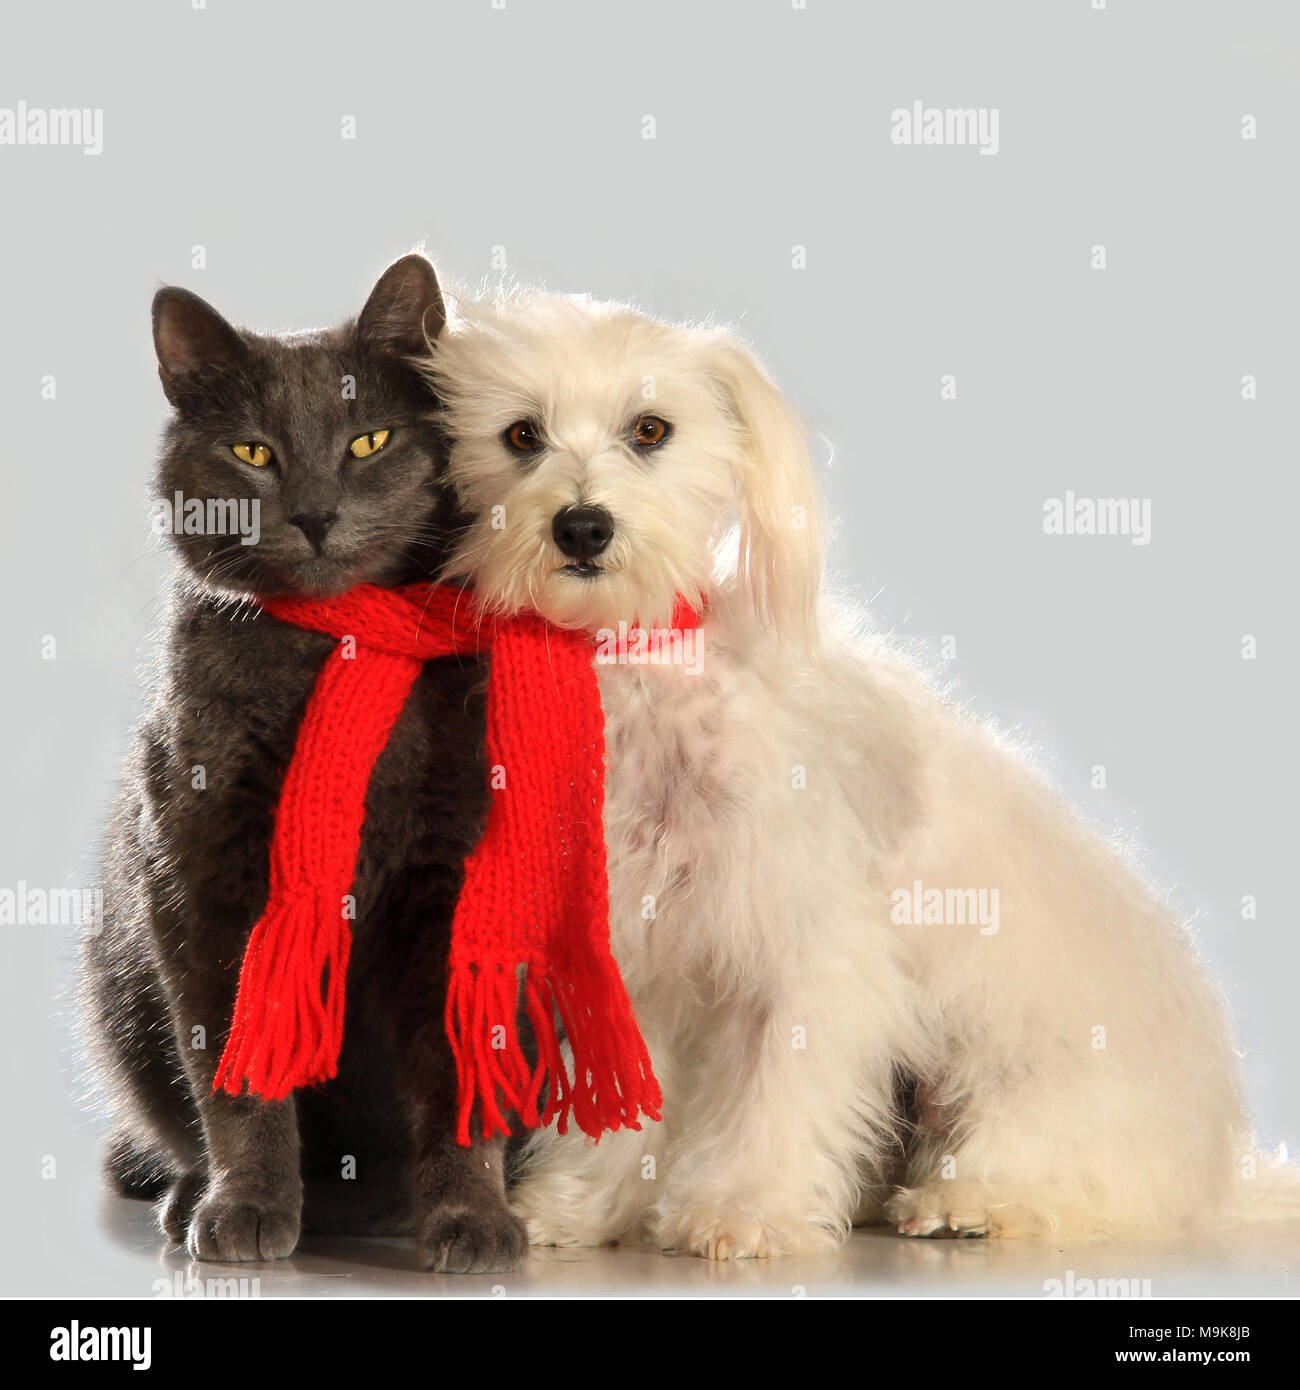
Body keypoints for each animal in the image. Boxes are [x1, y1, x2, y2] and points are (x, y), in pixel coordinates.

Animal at [81, 255, 525, 1273]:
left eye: (370, 440)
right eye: (253, 453)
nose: (316, 515)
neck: (335, 646)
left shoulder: (454, 878)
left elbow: (457, 1071)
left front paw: (470, 1217)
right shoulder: (203, 869)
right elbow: (231, 1064)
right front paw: (246, 1207)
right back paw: (204, 1195)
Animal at [425, 287, 1290, 1256]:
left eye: (651, 430)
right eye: (520, 435)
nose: (583, 525)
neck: (655, 675)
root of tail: (1220, 1176)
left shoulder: (809, 956)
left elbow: (779, 1095)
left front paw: (743, 1209)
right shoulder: (644, 959)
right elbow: (627, 1109)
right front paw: (581, 1209)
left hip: (1023, 1090)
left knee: (1082, 1183)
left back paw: (969, 1204)